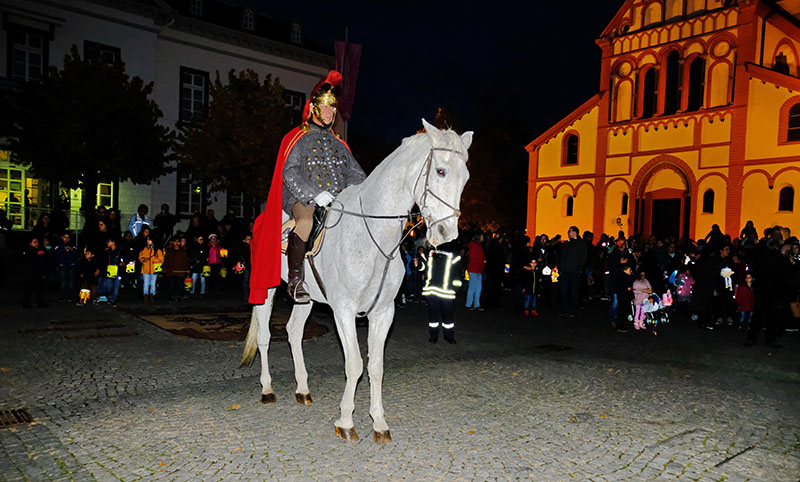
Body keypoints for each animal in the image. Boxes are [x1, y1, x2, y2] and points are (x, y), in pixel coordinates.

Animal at [241, 118, 472, 442]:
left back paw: (303, 389)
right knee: (264, 336)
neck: (372, 236)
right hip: (266, 289)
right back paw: (267, 388)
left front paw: (379, 422)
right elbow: (354, 364)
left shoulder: (383, 312)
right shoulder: (344, 311)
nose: (447, 233)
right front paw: (346, 421)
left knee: (294, 332)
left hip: (307, 299)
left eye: (465, 177)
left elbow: (375, 366)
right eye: (440, 171)